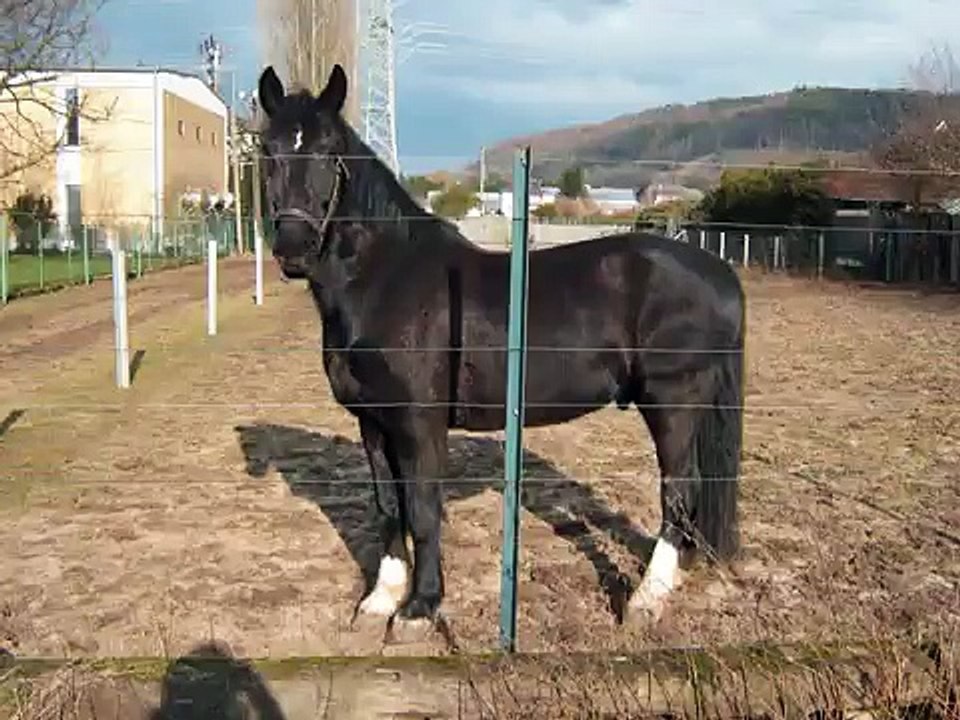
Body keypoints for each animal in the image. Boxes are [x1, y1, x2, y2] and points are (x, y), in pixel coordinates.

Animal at [255, 63, 746, 626]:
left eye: (327, 150)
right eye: (268, 148)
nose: (293, 247)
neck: (386, 280)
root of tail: (720, 272)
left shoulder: (419, 422)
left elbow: (423, 510)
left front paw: (421, 606)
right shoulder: (373, 422)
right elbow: (387, 506)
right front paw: (382, 597)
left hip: (672, 400)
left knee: (680, 488)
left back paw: (649, 595)